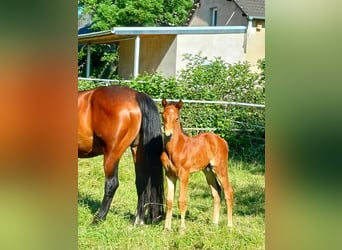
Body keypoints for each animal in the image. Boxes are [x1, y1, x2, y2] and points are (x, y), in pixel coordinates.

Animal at [78, 85, 164, 225]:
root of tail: (136, 95)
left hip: (112, 153)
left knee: (112, 183)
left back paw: (99, 218)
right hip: (138, 150)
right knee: (141, 182)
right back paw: (138, 221)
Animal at [162, 98, 234, 231]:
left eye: (177, 118)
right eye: (163, 115)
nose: (168, 134)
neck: (175, 148)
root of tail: (222, 141)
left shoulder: (184, 175)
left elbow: (182, 201)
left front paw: (182, 229)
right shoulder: (169, 175)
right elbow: (169, 201)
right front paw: (166, 229)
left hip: (220, 169)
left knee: (228, 192)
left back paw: (230, 225)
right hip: (208, 171)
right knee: (217, 192)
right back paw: (214, 224)